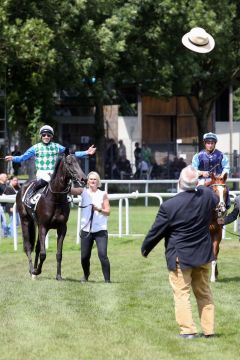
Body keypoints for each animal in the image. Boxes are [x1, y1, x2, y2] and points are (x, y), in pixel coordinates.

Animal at [15, 149, 86, 282]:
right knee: (28, 246)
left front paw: (58, 276)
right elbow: (43, 253)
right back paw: (32, 270)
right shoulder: (43, 226)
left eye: (79, 162)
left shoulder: (61, 228)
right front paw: (37, 271)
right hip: (25, 220)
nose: (84, 179)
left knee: (37, 247)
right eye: (69, 163)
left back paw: (34, 272)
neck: (55, 198)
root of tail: (23, 186)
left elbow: (58, 254)